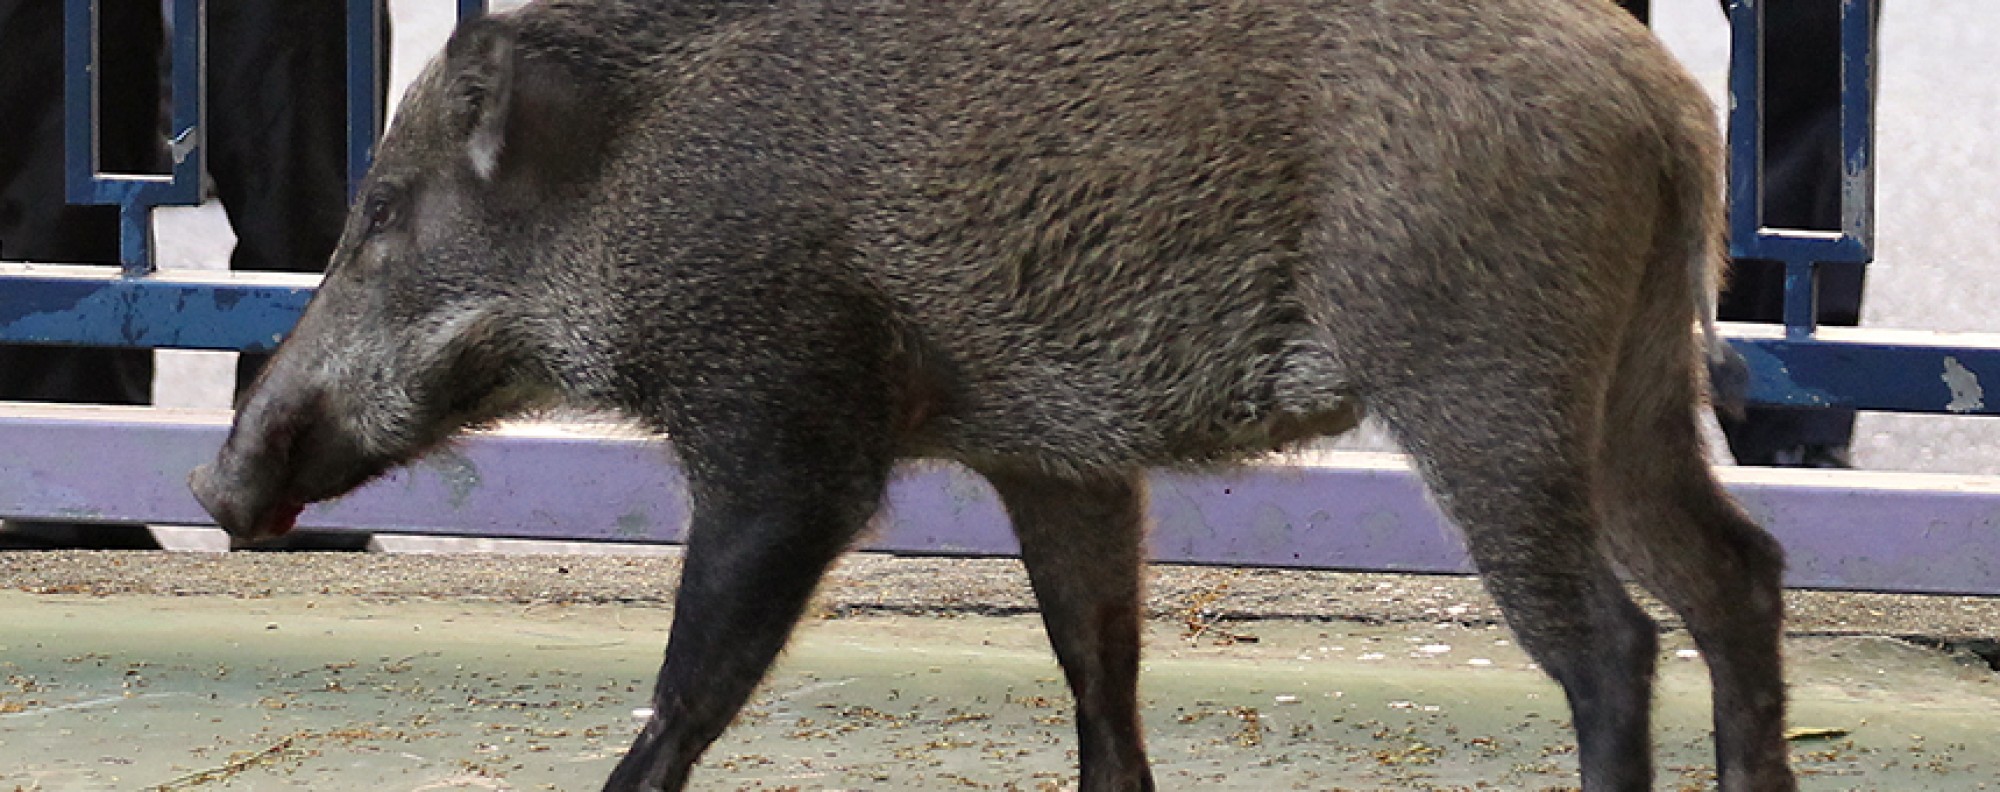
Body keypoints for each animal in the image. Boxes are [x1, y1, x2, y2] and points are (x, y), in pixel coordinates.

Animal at [188, 0, 1794, 790]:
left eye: (380, 213)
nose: (212, 484)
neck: (628, 187)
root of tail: (1664, 101)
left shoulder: (787, 431)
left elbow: (693, 684)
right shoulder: (1055, 455)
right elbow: (1098, 676)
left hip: (1480, 379)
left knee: (1613, 642)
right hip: (1630, 387)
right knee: (1739, 573)